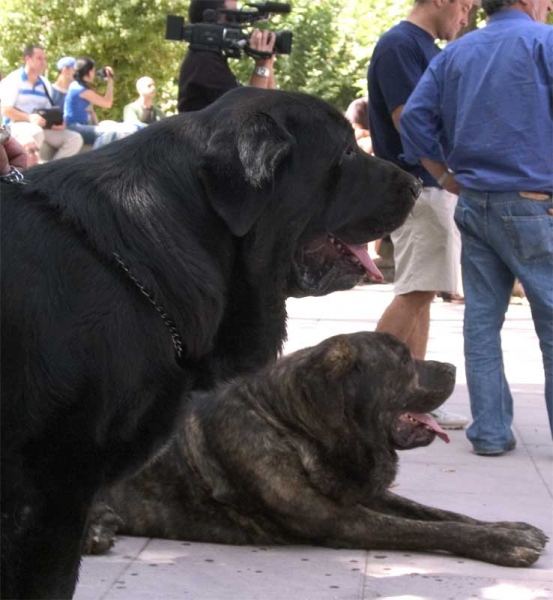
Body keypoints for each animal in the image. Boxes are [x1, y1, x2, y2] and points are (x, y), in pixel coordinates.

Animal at [87, 332, 548, 568]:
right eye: (402, 361)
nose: (452, 368)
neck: (292, 427)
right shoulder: (339, 519)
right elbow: (427, 529)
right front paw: (504, 543)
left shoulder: (366, 494)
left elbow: (441, 513)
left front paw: (506, 527)